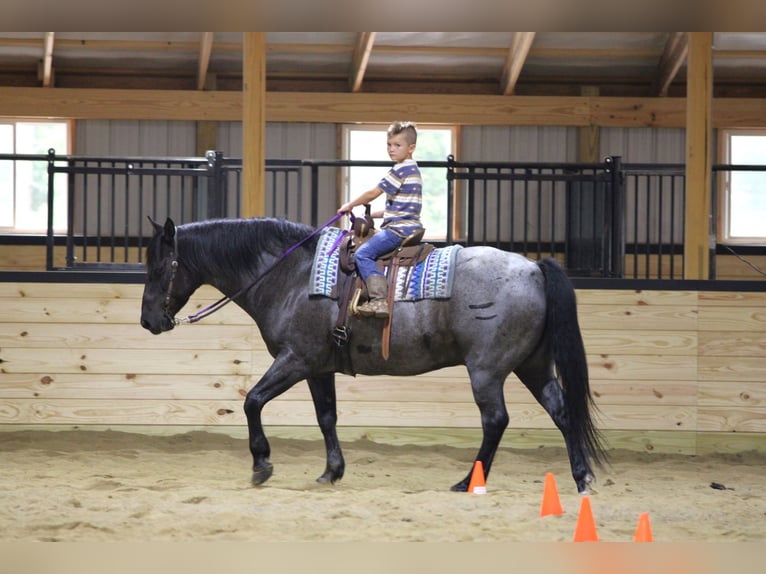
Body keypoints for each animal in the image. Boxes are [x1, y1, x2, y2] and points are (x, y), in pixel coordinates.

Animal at [140, 216, 607, 494]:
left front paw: (262, 464)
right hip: (533, 367)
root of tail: (533, 268)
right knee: (562, 412)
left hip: (487, 371)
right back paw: (581, 477)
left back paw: (466, 481)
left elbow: (252, 401)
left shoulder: (296, 360)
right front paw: (332, 470)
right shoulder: (318, 368)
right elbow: (326, 417)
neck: (290, 276)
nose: (148, 321)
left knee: (495, 420)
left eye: (159, 268)